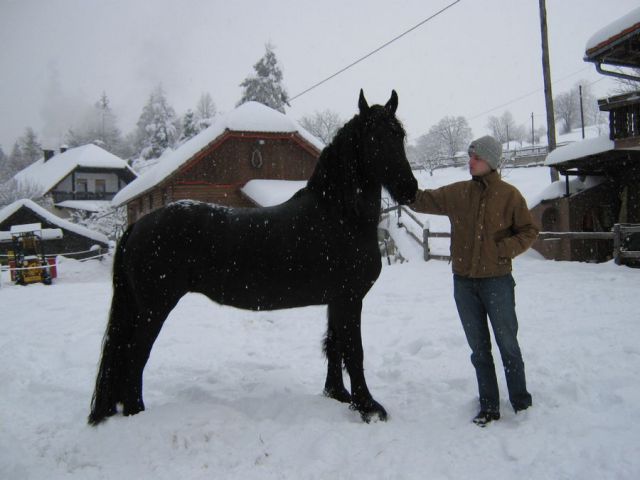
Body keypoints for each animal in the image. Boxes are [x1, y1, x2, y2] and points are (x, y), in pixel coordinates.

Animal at [89, 92, 420, 426]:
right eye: (374, 137)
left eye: (399, 135)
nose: (409, 189)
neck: (338, 215)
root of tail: (138, 225)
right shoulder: (350, 298)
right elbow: (354, 351)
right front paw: (369, 407)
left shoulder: (337, 299)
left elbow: (334, 345)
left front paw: (338, 395)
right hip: (154, 307)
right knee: (134, 356)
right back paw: (136, 413)